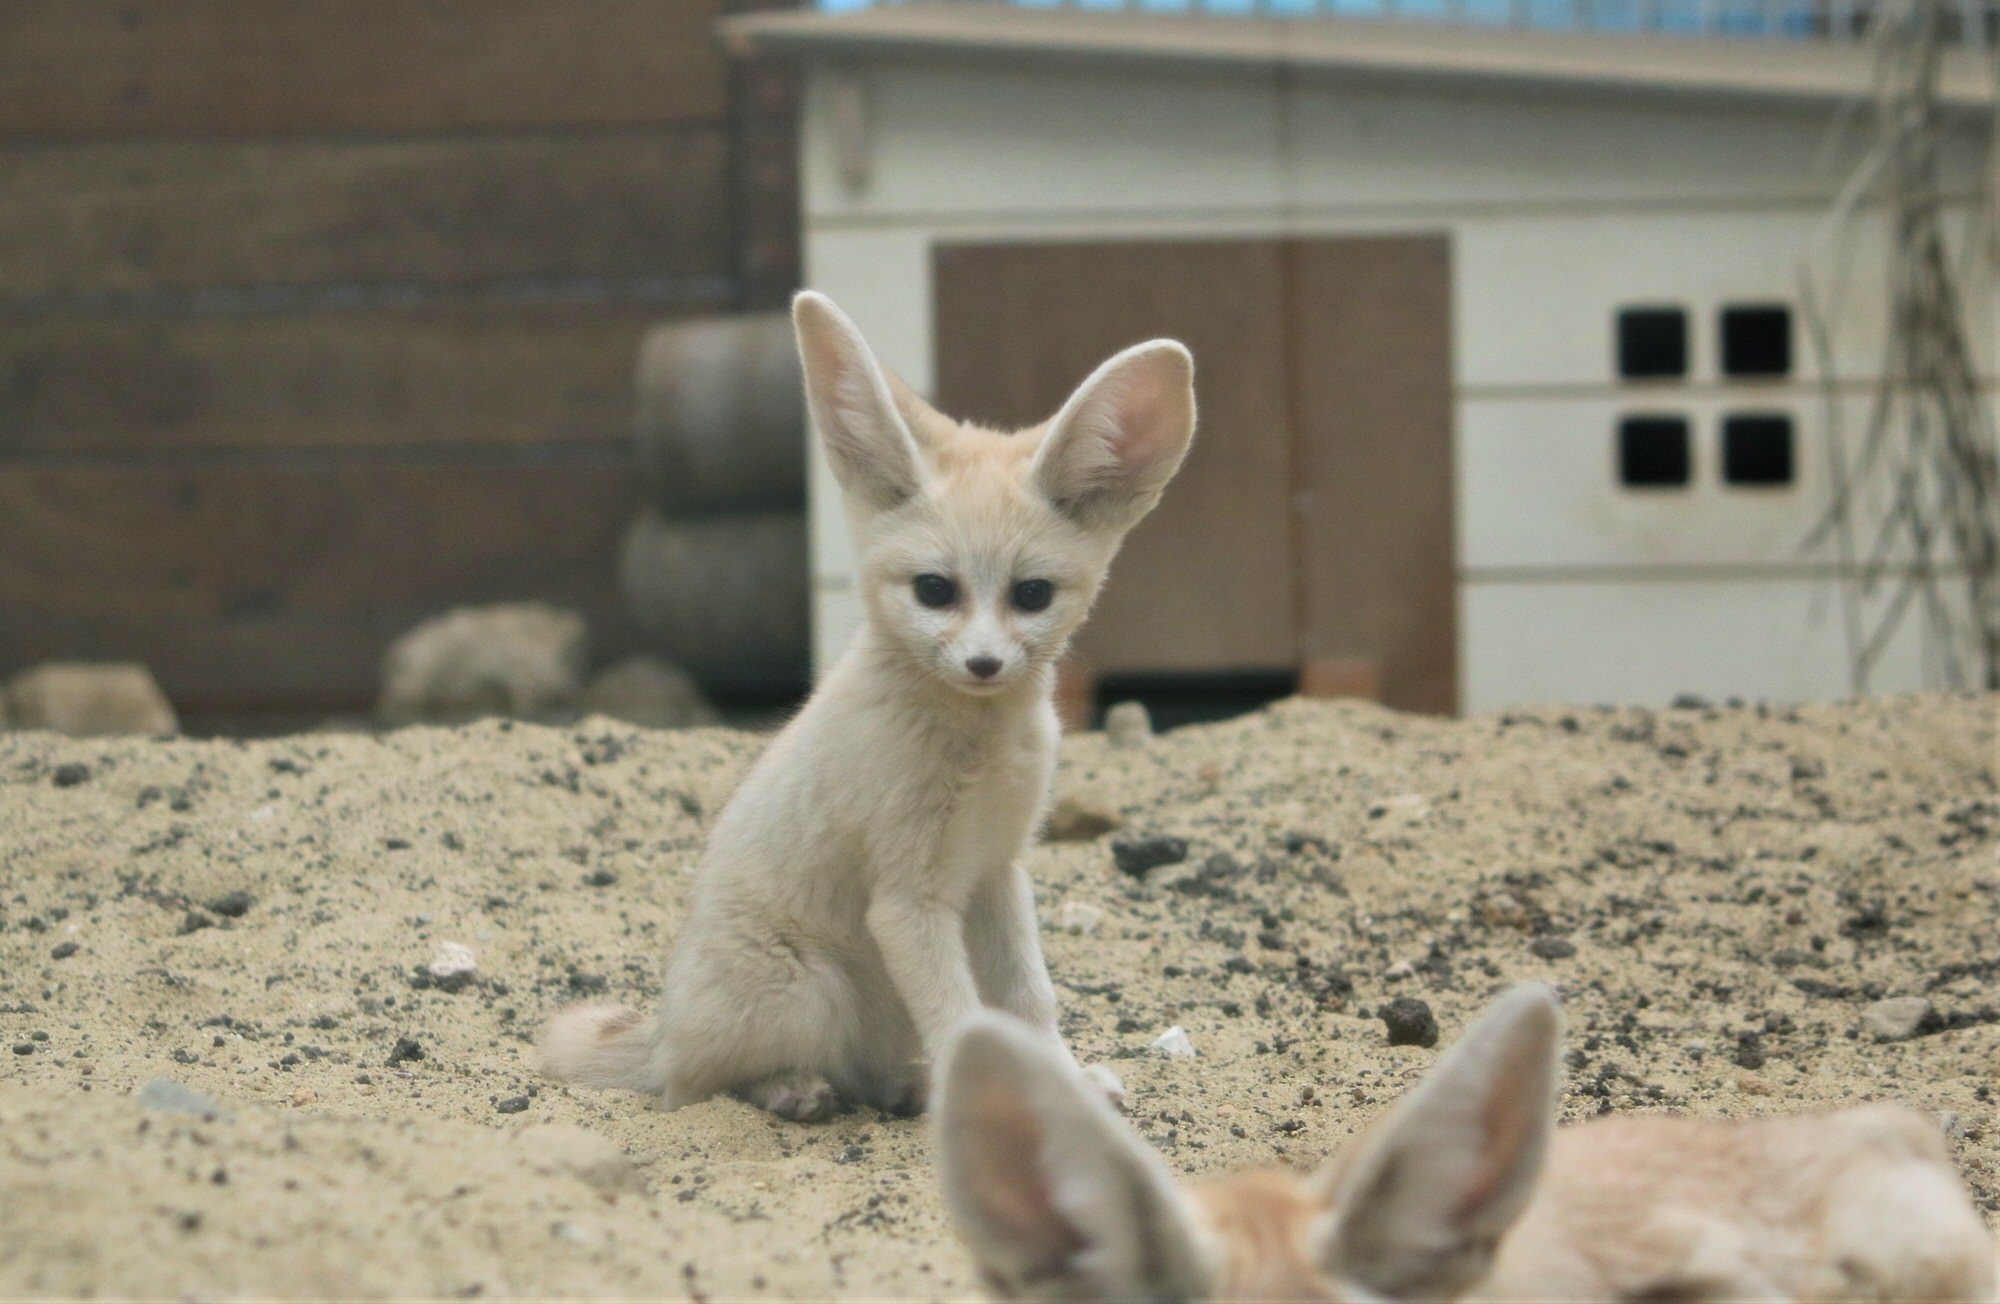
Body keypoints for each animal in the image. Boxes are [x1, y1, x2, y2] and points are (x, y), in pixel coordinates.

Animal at [540, 292, 1192, 1120]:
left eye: (1032, 595)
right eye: (935, 590)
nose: (984, 664)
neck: (978, 746)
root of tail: (660, 1032)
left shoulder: (998, 871)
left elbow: (1028, 1001)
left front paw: (1062, 1084)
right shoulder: (908, 901)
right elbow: (960, 1015)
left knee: (859, 1071)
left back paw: (903, 1086)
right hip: (809, 991)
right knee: (701, 1085)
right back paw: (794, 1089)